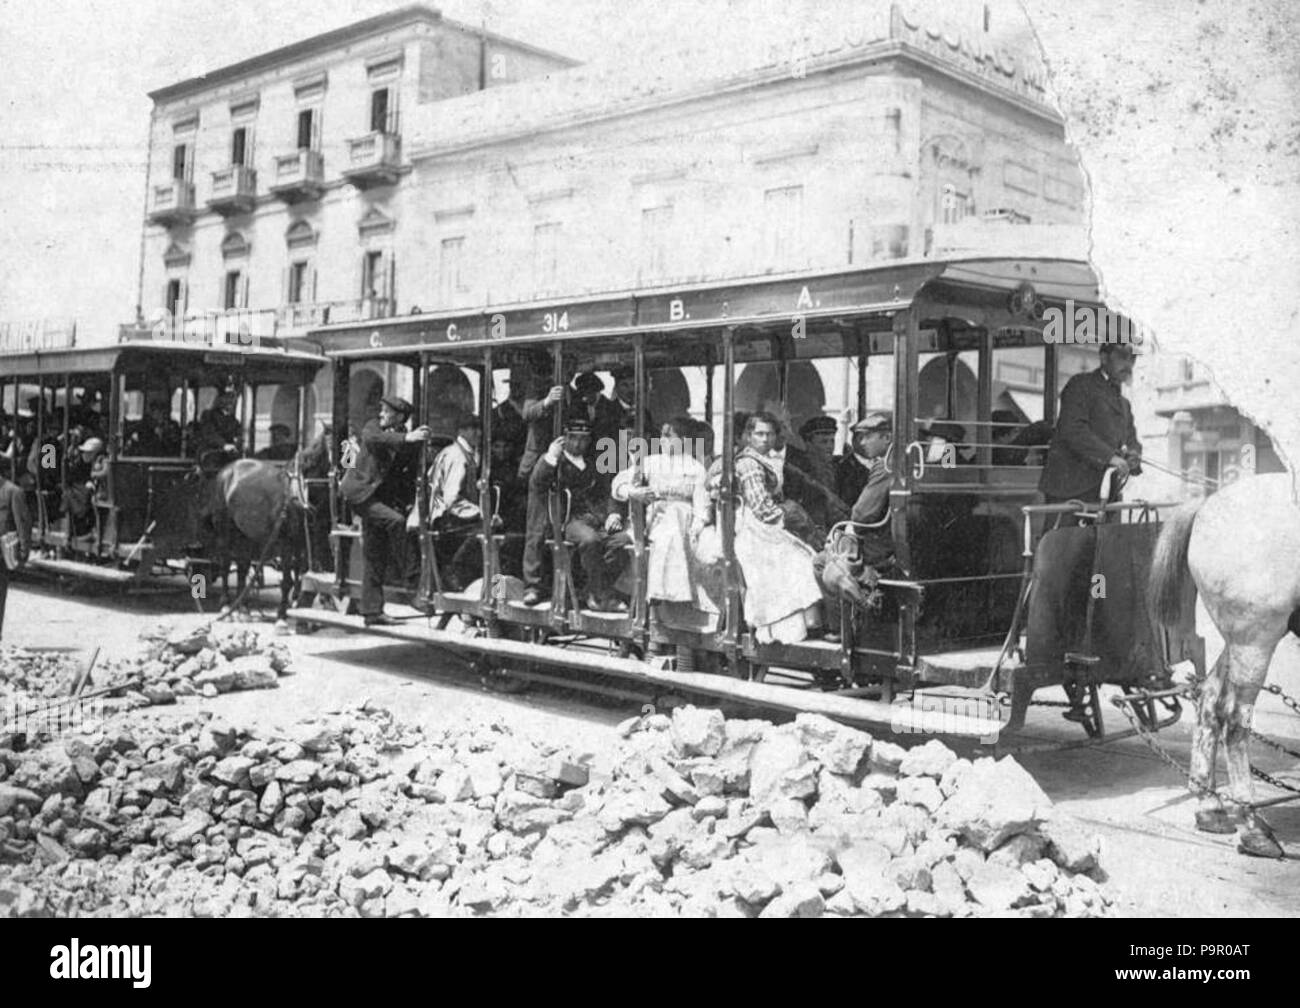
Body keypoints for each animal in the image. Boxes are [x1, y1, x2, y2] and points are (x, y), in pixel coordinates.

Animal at [1154, 473, 1300, 858]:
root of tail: (1208, 501)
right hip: (1255, 639)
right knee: (1235, 721)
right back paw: (1251, 826)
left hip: (1239, 642)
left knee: (1209, 699)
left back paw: (1210, 806)